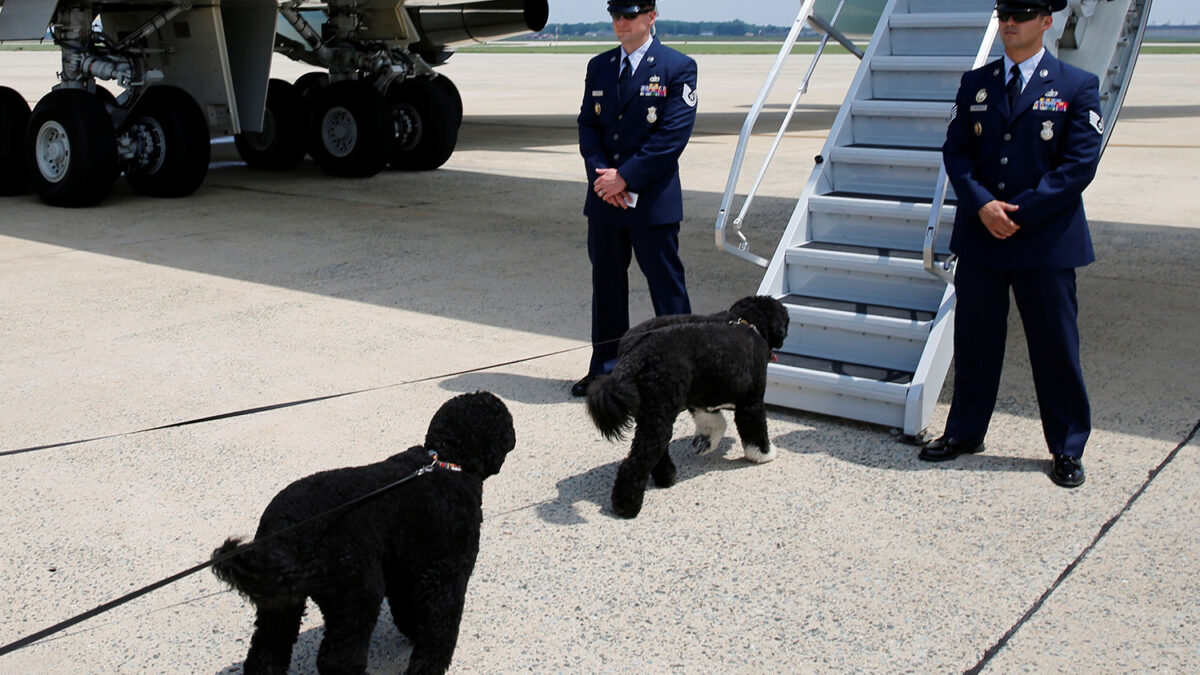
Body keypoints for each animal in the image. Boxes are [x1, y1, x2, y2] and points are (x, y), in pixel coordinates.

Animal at [213, 389, 513, 672]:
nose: (513, 437)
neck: (446, 462)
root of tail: (285, 529)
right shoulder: (446, 572)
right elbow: (438, 630)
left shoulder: (402, 569)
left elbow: (407, 611)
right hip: (357, 590)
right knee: (337, 660)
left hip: (281, 604)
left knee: (265, 654)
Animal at [588, 293, 792, 514]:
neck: (747, 322)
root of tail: (639, 352)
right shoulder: (751, 404)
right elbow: (756, 431)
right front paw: (764, 454)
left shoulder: (700, 398)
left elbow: (714, 423)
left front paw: (706, 442)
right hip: (659, 413)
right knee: (636, 462)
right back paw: (627, 506)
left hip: (653, 414)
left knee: (656, 452)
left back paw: (666, 477)